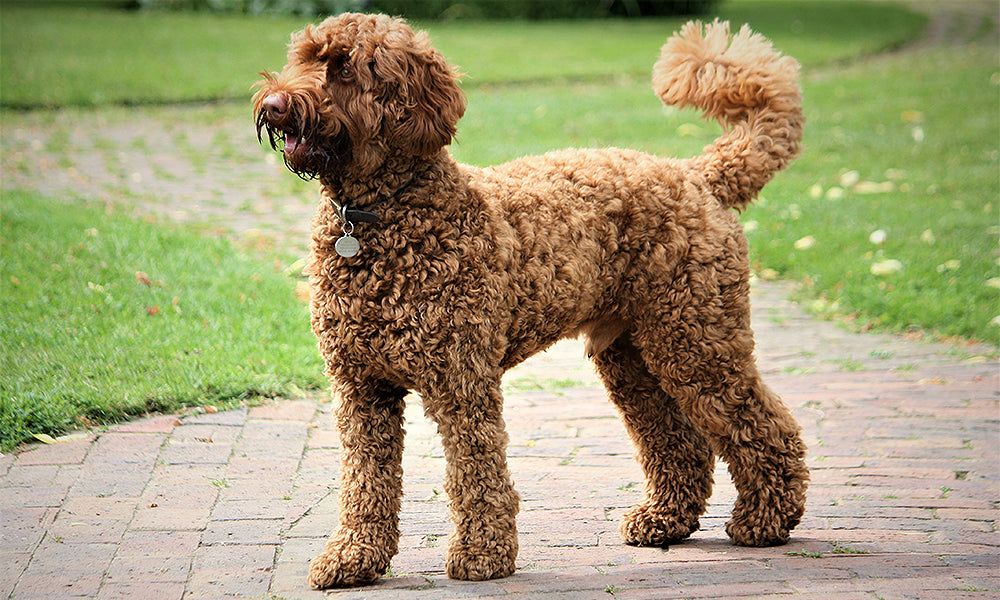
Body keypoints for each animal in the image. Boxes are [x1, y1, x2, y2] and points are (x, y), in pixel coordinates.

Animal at [254, 14, 808, 592]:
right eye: (301, 59)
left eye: (343, 69)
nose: (273, 103)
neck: (379, 216)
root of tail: (699, 175)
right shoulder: (361, 388)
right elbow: (365, 482)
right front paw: (354, 557)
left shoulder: (461, 380)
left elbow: (475, 471)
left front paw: (482, 555)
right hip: (634, 356)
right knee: (679, 440)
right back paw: (666, 519)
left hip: (696, 339)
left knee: (764, 425)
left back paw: (765, 518)